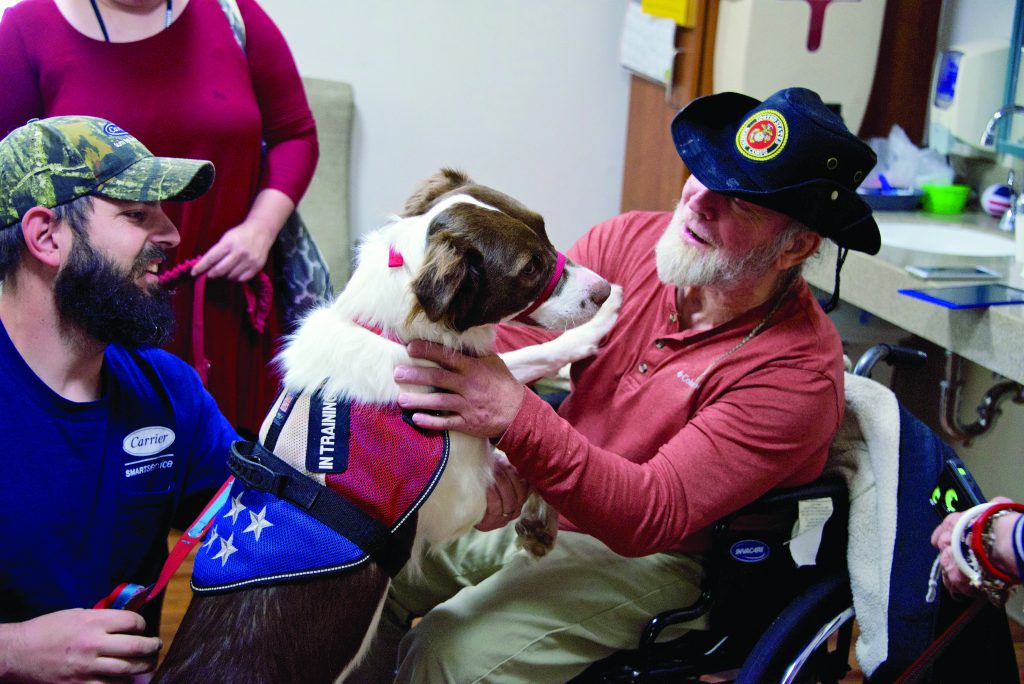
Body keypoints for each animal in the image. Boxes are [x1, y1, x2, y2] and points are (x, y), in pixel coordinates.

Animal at [154, 167, 618, 679]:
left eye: (545, 230)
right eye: (531, 268)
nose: (602, 290)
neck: (390, 331)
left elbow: (515, 371)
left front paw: (589, 334)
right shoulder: (454, 503)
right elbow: (523, 461)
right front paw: (539, 521)